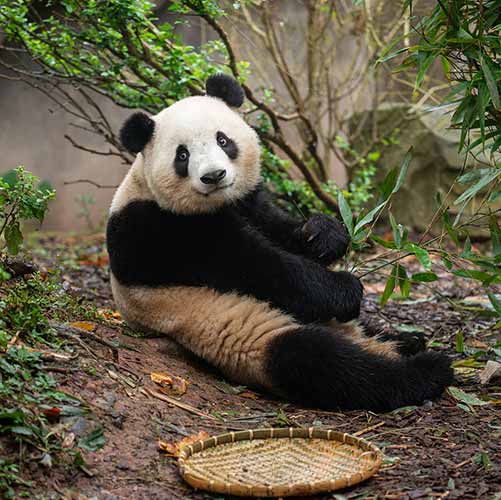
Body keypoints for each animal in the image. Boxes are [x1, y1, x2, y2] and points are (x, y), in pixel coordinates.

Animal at [106, 73, 454, 410]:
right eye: (182, 155)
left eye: (223, 140)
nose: (214, 176)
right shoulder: (160, 230)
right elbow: (256, 266)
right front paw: (345, 289)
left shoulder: (248, 201)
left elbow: (278, 229)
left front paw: (325, 234)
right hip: (243, 332)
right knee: (321, 361)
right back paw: (427, 369)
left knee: (363, 334)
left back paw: (407, 341)